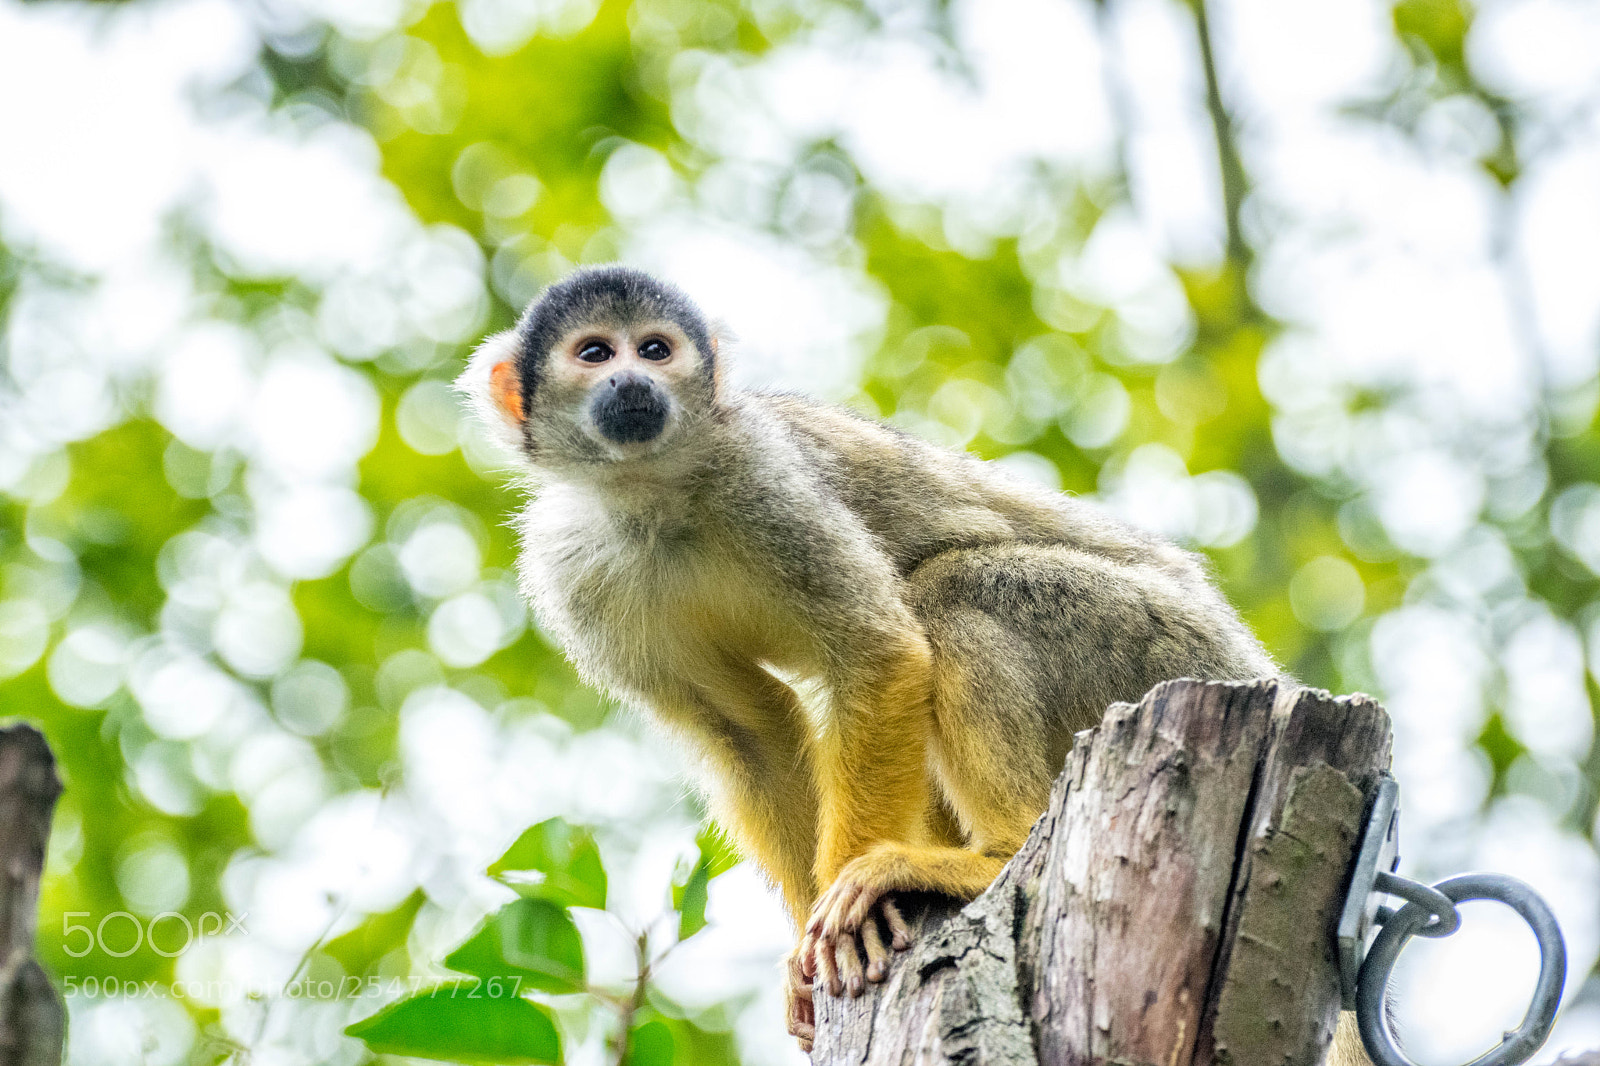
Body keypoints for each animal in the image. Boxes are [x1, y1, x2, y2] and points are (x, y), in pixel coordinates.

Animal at [458, 265, 1369, 1062]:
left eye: (654, 349)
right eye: (593, 353)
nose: (631, 385)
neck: (654, 490)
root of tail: (1260, 668)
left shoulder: (764, 480)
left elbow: (880, 652)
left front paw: (846, 918)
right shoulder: (575, 577)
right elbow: (749, 728)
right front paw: (805, 949)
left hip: (1161, 645)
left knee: (954, 588)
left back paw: (991, 854)